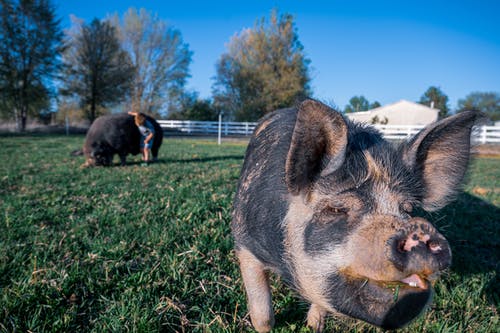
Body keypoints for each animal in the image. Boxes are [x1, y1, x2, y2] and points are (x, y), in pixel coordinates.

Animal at [230, 98, 480, 330]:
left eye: (408, 209)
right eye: (337, 209)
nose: (418, 230)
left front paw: (314, 327)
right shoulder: (244, 243)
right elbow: (263, 314)